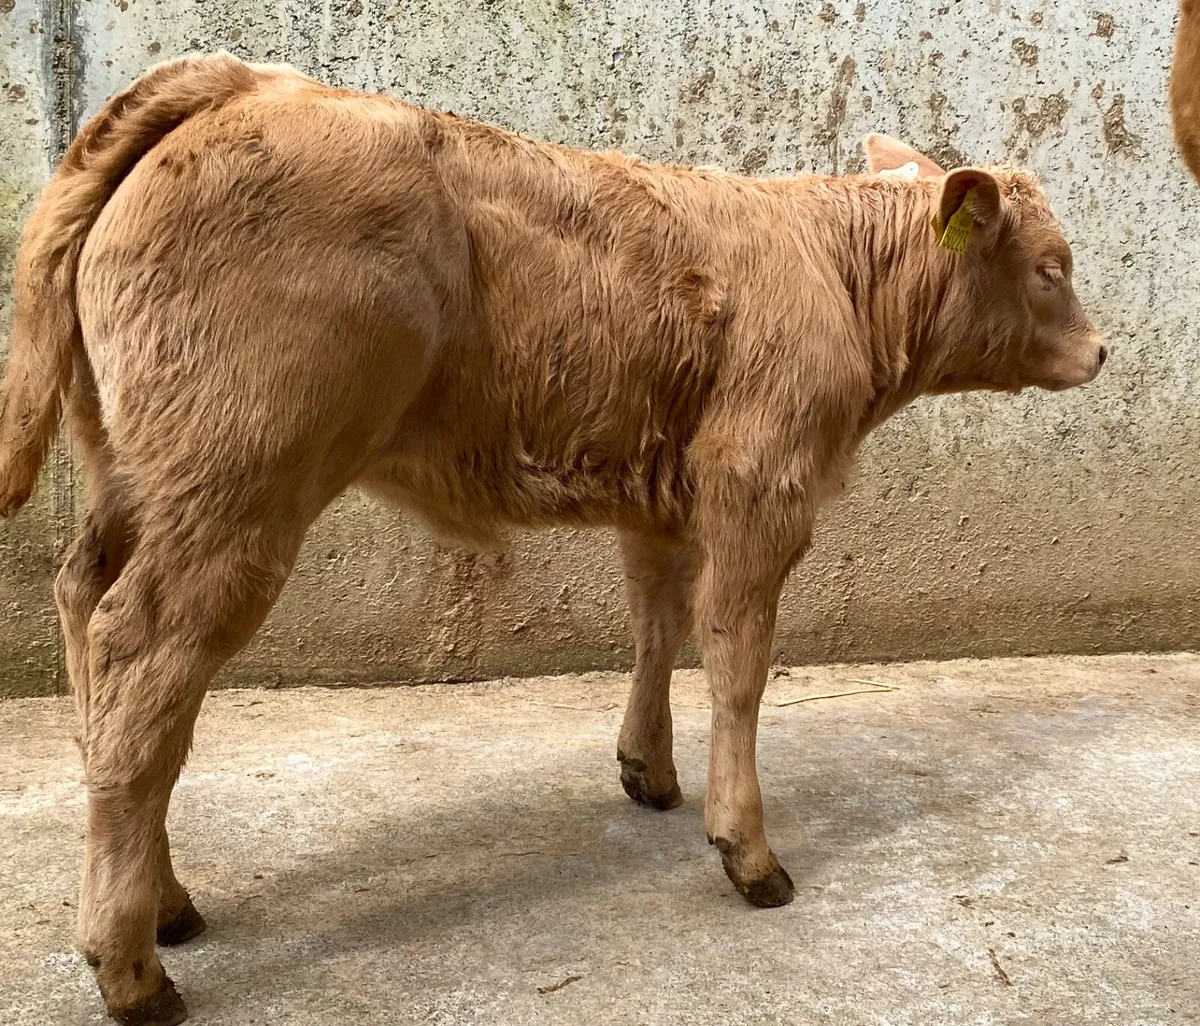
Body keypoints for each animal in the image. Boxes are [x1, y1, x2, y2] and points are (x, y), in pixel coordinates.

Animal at [0, 53, 1106, 1025]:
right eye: (1050, 268)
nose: (1101, 352)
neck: (836, 274)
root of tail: (244, 81)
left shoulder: (665, 502)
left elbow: (658, 628)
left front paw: (648, 772)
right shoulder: (761, 484)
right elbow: (738, 661)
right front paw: (747, 851)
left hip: (137, 474)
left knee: (91, 630)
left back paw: (165, 904)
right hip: (239, 487)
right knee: (146, 666)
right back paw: (131, 968)